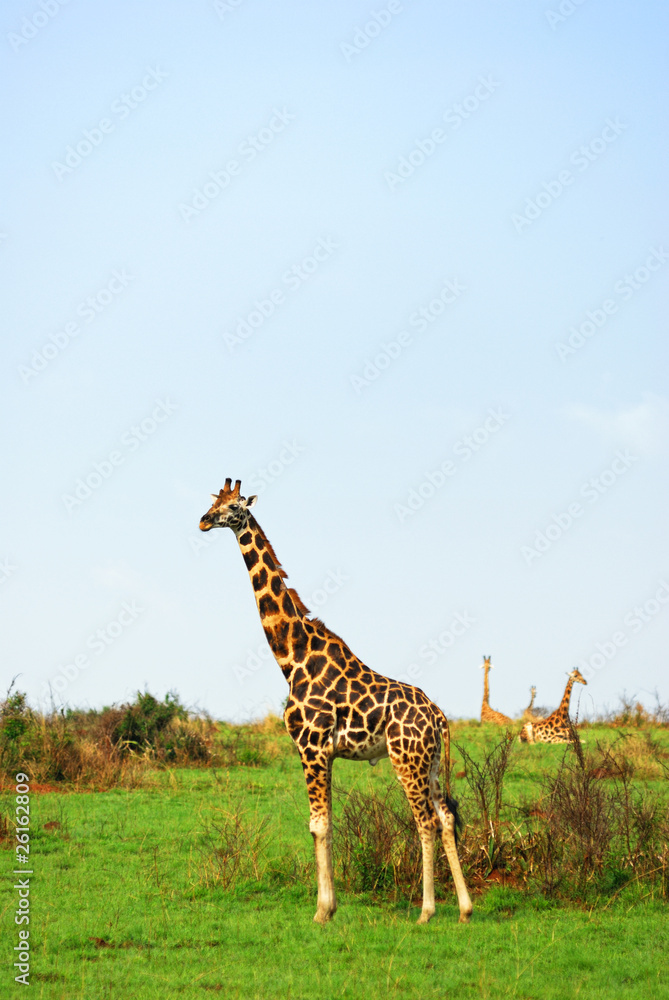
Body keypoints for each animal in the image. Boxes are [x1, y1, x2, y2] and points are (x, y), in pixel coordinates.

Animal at [199, 479, 472, 925]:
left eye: (235, 506)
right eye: (214, 503)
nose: (204, 521)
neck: (292, 657)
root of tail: (439, 717)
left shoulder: (310, 746)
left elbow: (318, 824)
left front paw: (322, 911)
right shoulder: (322, 751)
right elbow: (324, 823)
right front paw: (328, 907)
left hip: (406, 760)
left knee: (426, 821)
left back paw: (427, 911)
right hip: (429, 762)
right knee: (446, 817)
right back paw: (465, 909)